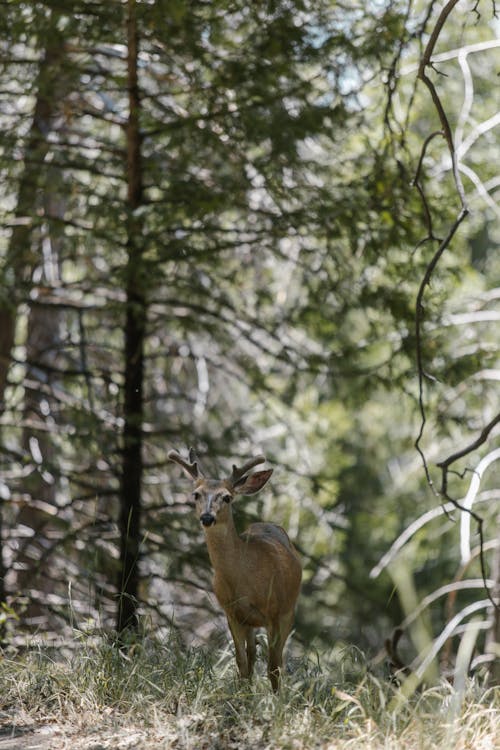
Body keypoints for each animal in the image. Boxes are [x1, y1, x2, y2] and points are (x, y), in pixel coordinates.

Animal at [167, 450, 300, 692]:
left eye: (227, 497)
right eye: (196, 494)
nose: (207, 517)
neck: (243, 578)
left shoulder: (274, 611)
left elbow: (273, 667)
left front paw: (277, 700)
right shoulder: (231, 612)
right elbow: (241, 662)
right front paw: (242, 695)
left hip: (288, 610)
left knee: (276, 660)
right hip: (251, 622)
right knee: (252, 654)